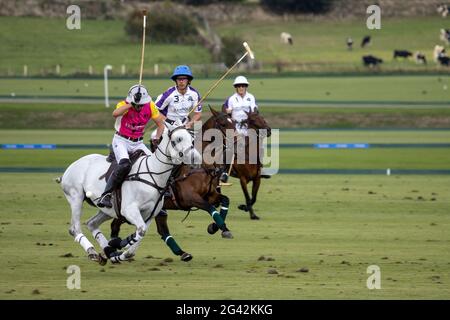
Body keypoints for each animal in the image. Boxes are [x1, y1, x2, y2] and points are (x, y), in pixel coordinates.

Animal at [59, 121, 200, 264]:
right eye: (178, 139)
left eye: (192, 139)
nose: (196, 159)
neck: (153, 175)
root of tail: (72, 165)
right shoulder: (129, 209)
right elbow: (140, 231)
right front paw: (119, 243)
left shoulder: (150, 213)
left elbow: (140, 234)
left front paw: (122, 252)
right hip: (76, 197)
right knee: (74, 229)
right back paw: (93, 252)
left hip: (108, 210)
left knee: (91, 223)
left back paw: (110, 253)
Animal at [109, 107, 237, 260]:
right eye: (223, 124)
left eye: (234, 122)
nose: (239, 141)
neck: (200, 167)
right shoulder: (190, 198)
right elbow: (210, 208)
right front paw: (218, 228)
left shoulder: (211, 195)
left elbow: (225, 201)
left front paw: (217, 228)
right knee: (116, 225)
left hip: (156, 209)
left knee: (162, 230)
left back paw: (182, 253)